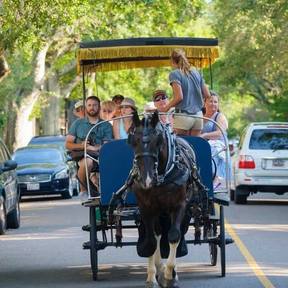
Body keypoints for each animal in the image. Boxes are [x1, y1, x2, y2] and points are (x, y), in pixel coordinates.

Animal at [127, 112, 208, 288]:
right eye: (133, 141)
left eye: (158, 141)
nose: (146, 179)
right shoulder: (146, 208)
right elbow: (151, 241)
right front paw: (152, 277)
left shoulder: (178, 206)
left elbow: (174, 235)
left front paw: (170, 275)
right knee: (157, 234)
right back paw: (158, 269)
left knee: (176, 233)